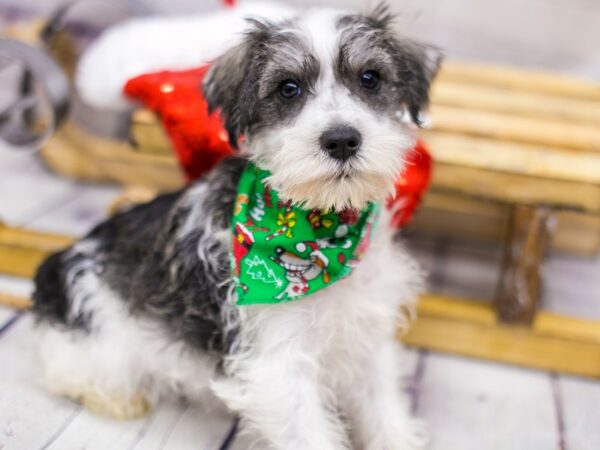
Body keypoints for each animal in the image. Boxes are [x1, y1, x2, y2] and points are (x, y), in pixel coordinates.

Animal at [34, 4, 440, 450]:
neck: (322, 230)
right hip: (99, 339)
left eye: (370, 78)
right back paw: (115, 398)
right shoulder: (277, 365)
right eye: (288, 88)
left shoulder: (367, 338)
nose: (341, 140)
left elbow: (384, 411)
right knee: (65, 373)